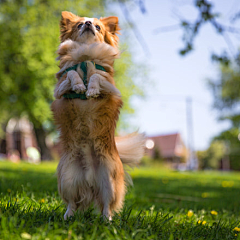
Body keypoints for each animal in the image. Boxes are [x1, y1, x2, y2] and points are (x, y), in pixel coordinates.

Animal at [50, 11, 144, 221]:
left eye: (99, 27)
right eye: (78, 25)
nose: (87, 23)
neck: (86, 54)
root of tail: (90, 180)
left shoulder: (110, 88)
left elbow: (95, 76)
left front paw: (91, 90)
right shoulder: (60, 90)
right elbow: (71, 76)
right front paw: (79, 85)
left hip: (108, 180)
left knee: (106, 205)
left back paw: (106, 221)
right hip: (68, 179)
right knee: (72, 203)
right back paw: (68, 217)